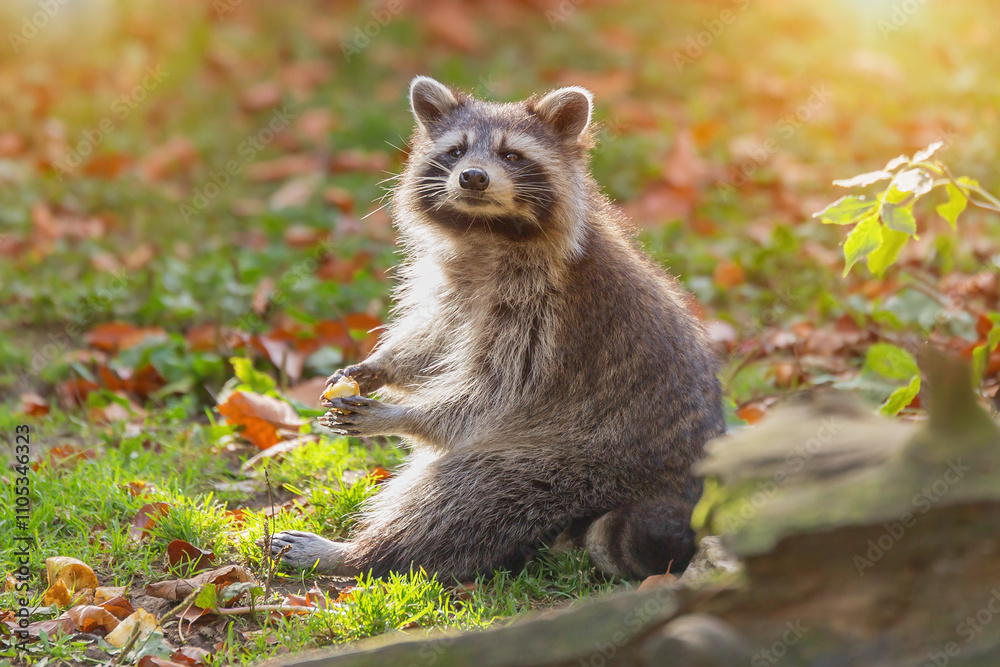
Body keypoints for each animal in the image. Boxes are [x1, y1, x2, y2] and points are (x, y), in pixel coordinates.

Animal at [269, 76, 725, 580]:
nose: (473, 177)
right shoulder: (456, 285)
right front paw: (380, 366)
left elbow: (490, 396)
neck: (486, 230)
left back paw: (357, 555)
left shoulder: (544, 314)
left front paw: (404, 415)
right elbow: (435, 335)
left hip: (578, 465)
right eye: (456, 151)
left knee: (467, 493)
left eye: (511, 155)